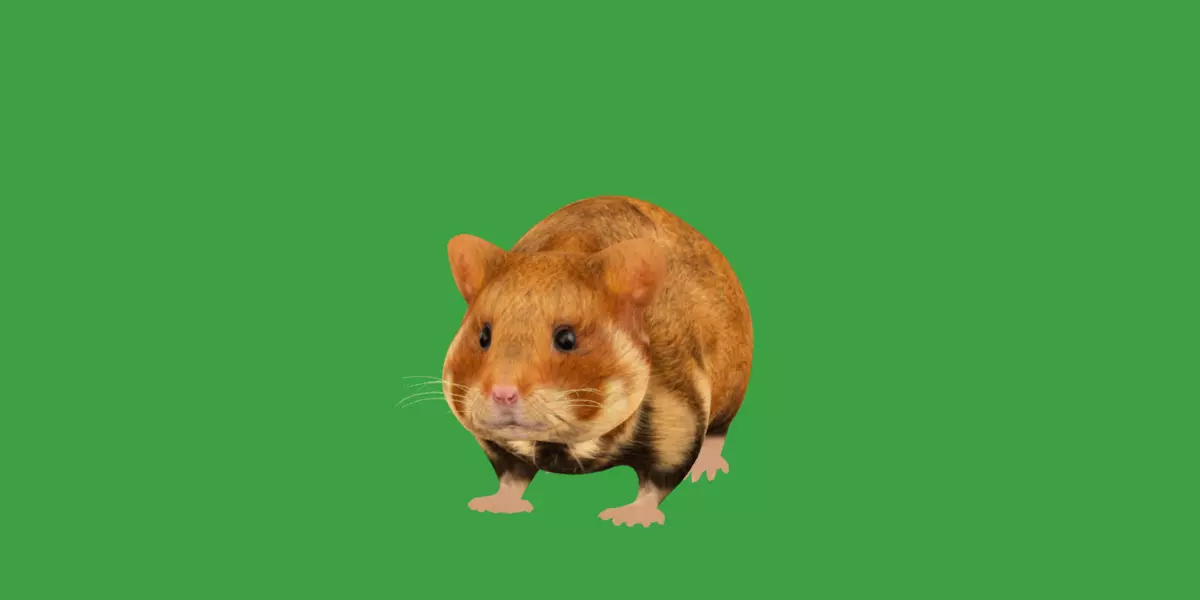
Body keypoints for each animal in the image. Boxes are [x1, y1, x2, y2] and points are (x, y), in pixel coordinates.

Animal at [440, 196, 753, 527]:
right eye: (483, 336)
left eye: (567, 339)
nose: (502, 394)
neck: (560, 445)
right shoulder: (499, 446)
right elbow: (511, 476)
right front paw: (494, 506)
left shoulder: (680, 414)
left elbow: (660, 477)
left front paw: (629, 518)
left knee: (718, 431)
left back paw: (707, 470)